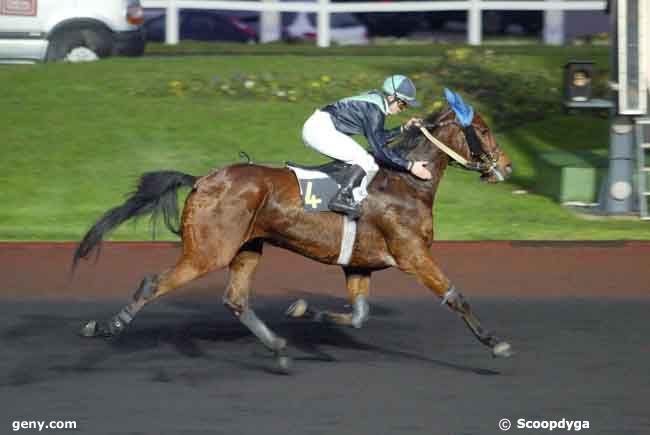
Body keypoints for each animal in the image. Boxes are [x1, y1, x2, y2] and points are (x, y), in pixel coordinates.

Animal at [73, 98, 512, 372]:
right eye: (484, 130)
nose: (506, 166)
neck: (404, 183)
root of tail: (201, 180)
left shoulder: (359, 265)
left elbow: (358, 316)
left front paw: (302, 311)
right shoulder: (413, 255)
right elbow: (455, 296)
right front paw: (495, 343)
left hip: (248, 248)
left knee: (236, 300)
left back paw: (280, 349)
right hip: (208, 252)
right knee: (153, 283)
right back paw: (107, 327)